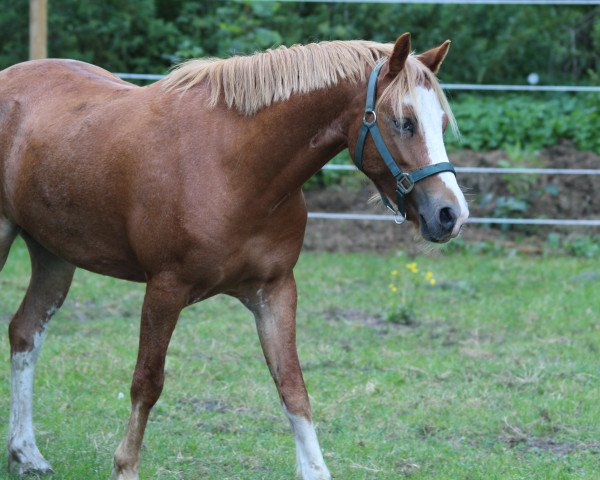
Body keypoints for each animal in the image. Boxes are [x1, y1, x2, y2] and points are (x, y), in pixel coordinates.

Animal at [0, 34, 466, 480]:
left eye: (441, 123)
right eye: (404, 122)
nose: (451, 214)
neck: (235, 167)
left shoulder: (274, 292)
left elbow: (292, 386)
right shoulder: (164, 289)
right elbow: (147, 382)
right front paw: (125, 467)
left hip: (54, 254)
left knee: (25, 333)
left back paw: (26, 453)